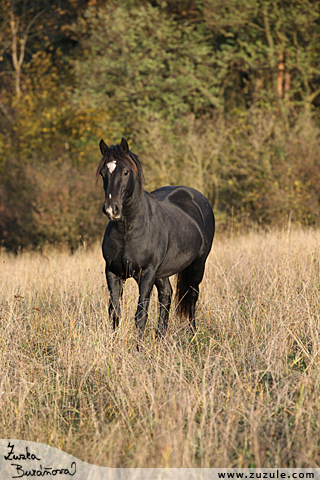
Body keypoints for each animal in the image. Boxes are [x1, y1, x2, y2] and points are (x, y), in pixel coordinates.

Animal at [96, 138, 214, 342]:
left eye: (126, 172)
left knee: (192, 295)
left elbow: (140, 315)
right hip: (162, 272)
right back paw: (160, 338)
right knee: (166, 295)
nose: (112, 209)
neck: (128, 230)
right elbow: (115, 313)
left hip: (198, 264)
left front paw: (138, 348)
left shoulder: (146, 273)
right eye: (104, 173)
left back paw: (192, 335)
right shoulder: (112, 272)